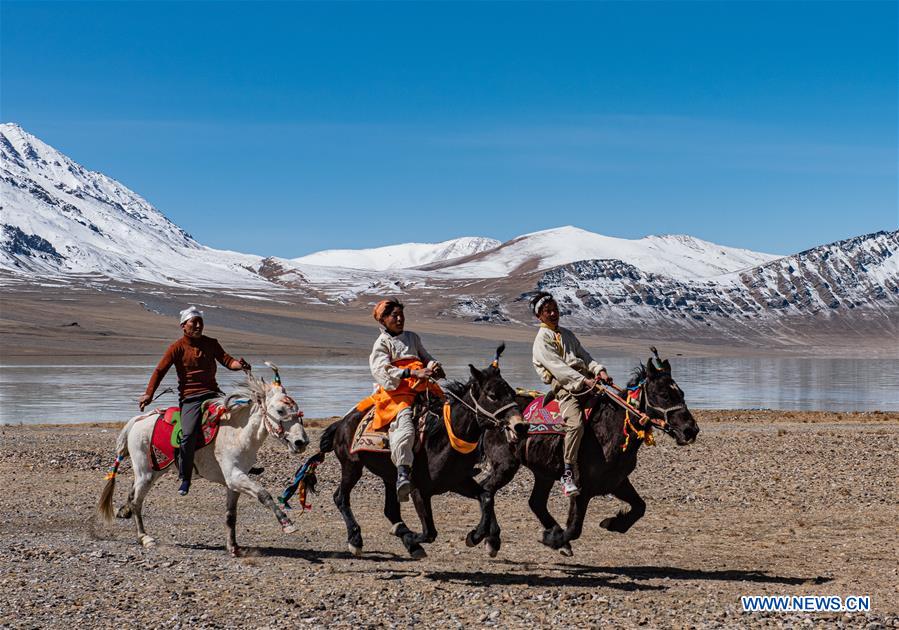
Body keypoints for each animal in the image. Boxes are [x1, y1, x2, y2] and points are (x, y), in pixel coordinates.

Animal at [97, 366, 310, 556]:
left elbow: (231, 515)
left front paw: (233, 547)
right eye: (280, 410)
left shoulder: (234, 483)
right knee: (137, 501)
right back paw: (145, 537)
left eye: (297, 409)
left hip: (154, 470)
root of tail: (137, 420)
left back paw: (124, 511)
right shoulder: (235, 476)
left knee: (132, 493)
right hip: (146, 473)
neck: (239, 433)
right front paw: (287, 524)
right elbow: (264, 494)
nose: (301, 442)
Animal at [318, 348, 524, 560]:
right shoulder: (419, 491)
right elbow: (430, 533)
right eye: (492, 395)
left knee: (390, 510)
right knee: (341, 497)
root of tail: (342, 422)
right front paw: (406, 535)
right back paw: (356, 540)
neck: (442, 439)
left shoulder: (457, 482)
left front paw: (476, 536)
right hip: (352, 466)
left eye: (512, 393)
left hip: (388, 476)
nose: (519, 425)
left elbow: (486, 497)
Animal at [468, 356, 700, 556]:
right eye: (663, 394)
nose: (690, 430)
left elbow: (640, 507)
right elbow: (575, 528)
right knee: (487, 489)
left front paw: (613, 523)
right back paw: (488, 538)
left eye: (681, 393)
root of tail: (488, 417)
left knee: (535, 502)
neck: (612, 428)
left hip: (542, 473)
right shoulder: (582, 488)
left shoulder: (617, 482)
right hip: (506, 465)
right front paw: (552, 539)